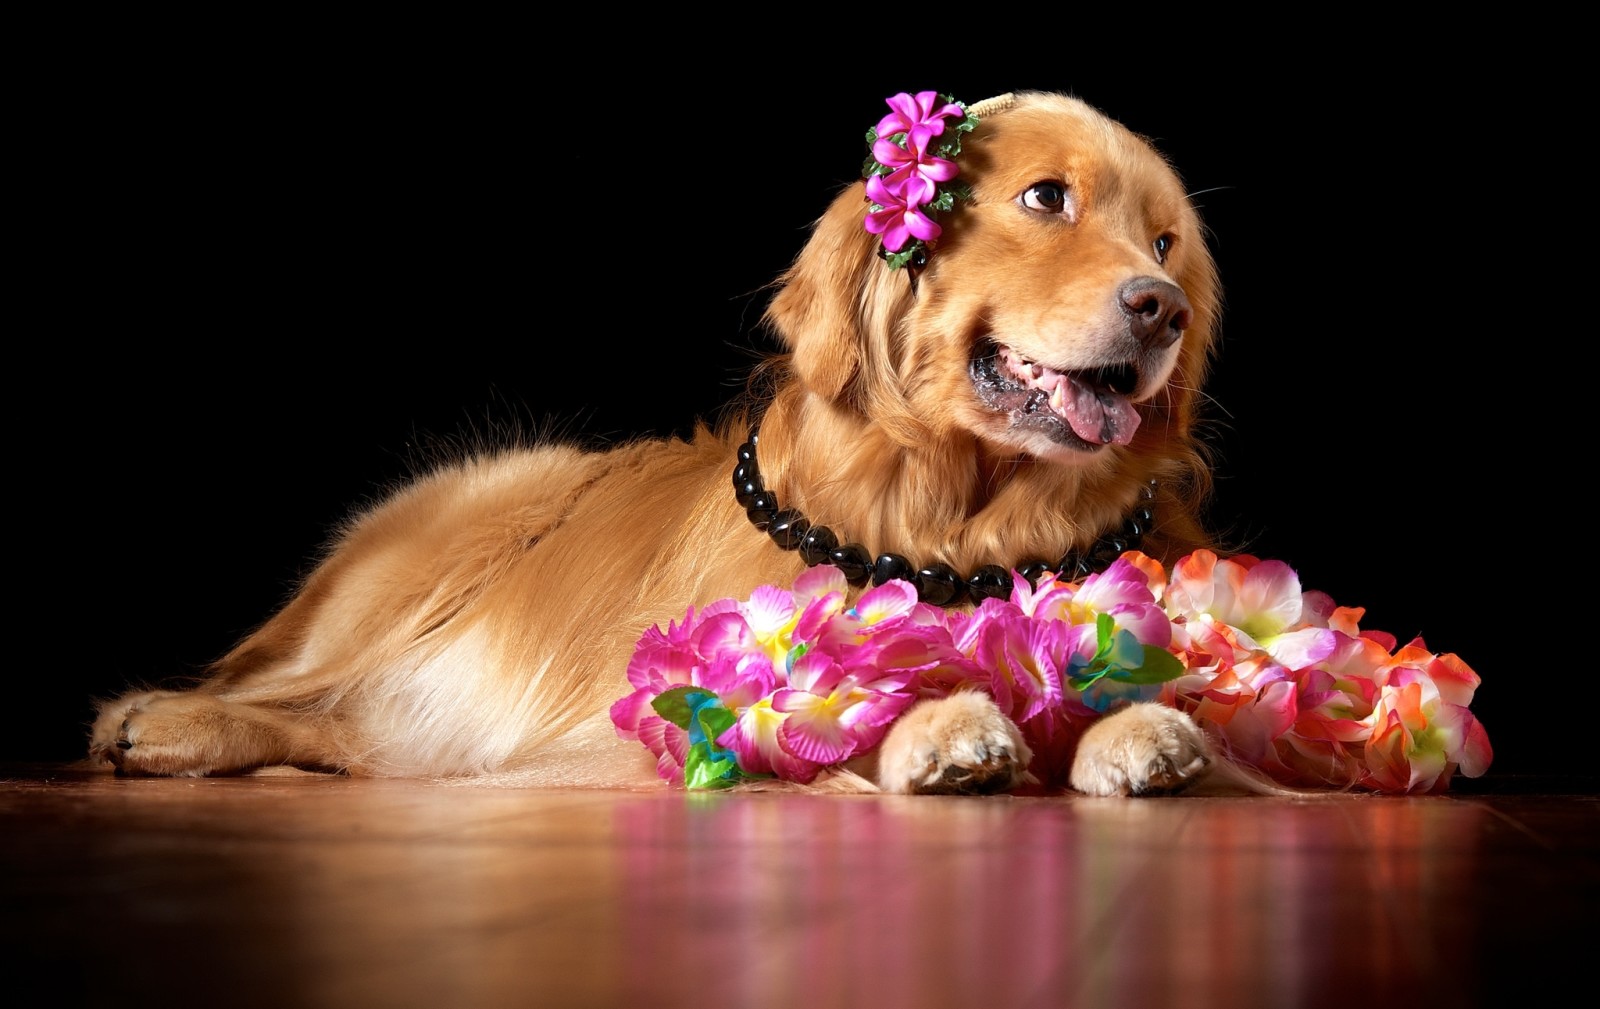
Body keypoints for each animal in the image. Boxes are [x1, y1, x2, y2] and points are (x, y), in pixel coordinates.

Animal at [87, 92, 1228, 796]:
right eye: (1046, 197)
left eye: (1165, 241)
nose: (1162, 307)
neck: (959, 524)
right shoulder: (646, 718)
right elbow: (813, 730)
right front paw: (940, 723)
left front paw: (1139, 727)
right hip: (460, 533)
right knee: (286, 687)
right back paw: (162, 721)